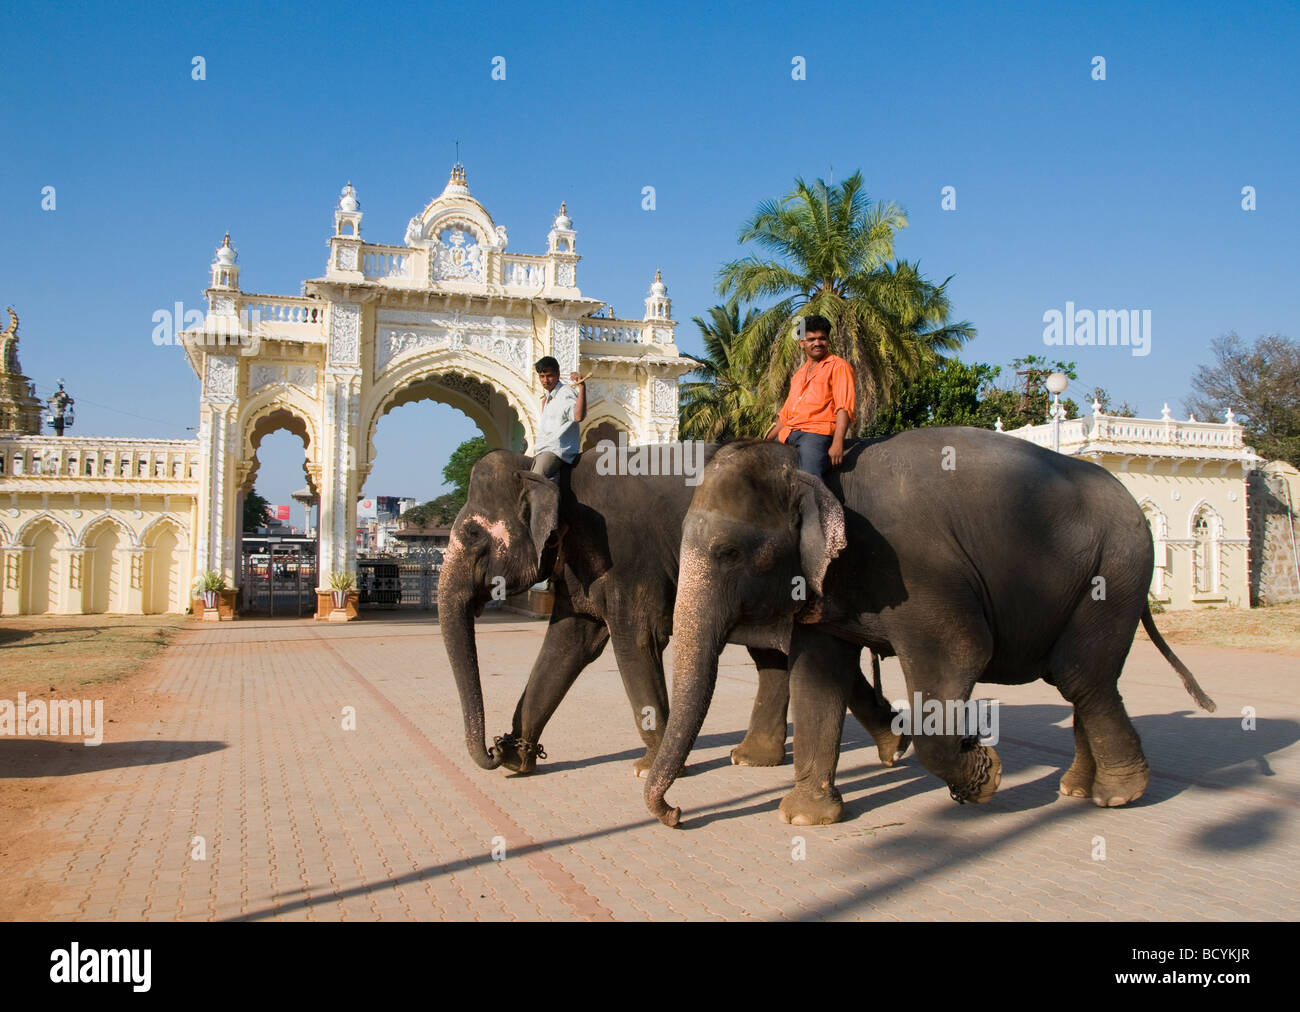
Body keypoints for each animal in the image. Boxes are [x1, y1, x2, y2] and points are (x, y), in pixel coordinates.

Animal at [435, 447, 909, 780]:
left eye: (471, 533)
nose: (493, 749)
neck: (548, 470)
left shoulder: (624, 555)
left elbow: (635, 640)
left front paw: (654, 768)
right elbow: (568, 645)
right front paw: (518, 762)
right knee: (778, 654)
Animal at [645, 428, 1217, 827]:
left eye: (728, 551)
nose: (676, 815)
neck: (814, 472)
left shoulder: (917, 571)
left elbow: (962, 653)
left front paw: (983, 775)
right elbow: (816, 677)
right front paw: (806, 818)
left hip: (1113, 573)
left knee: (1082, 677)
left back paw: (1119, 794)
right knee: (1079, 679)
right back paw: (1078, 788)